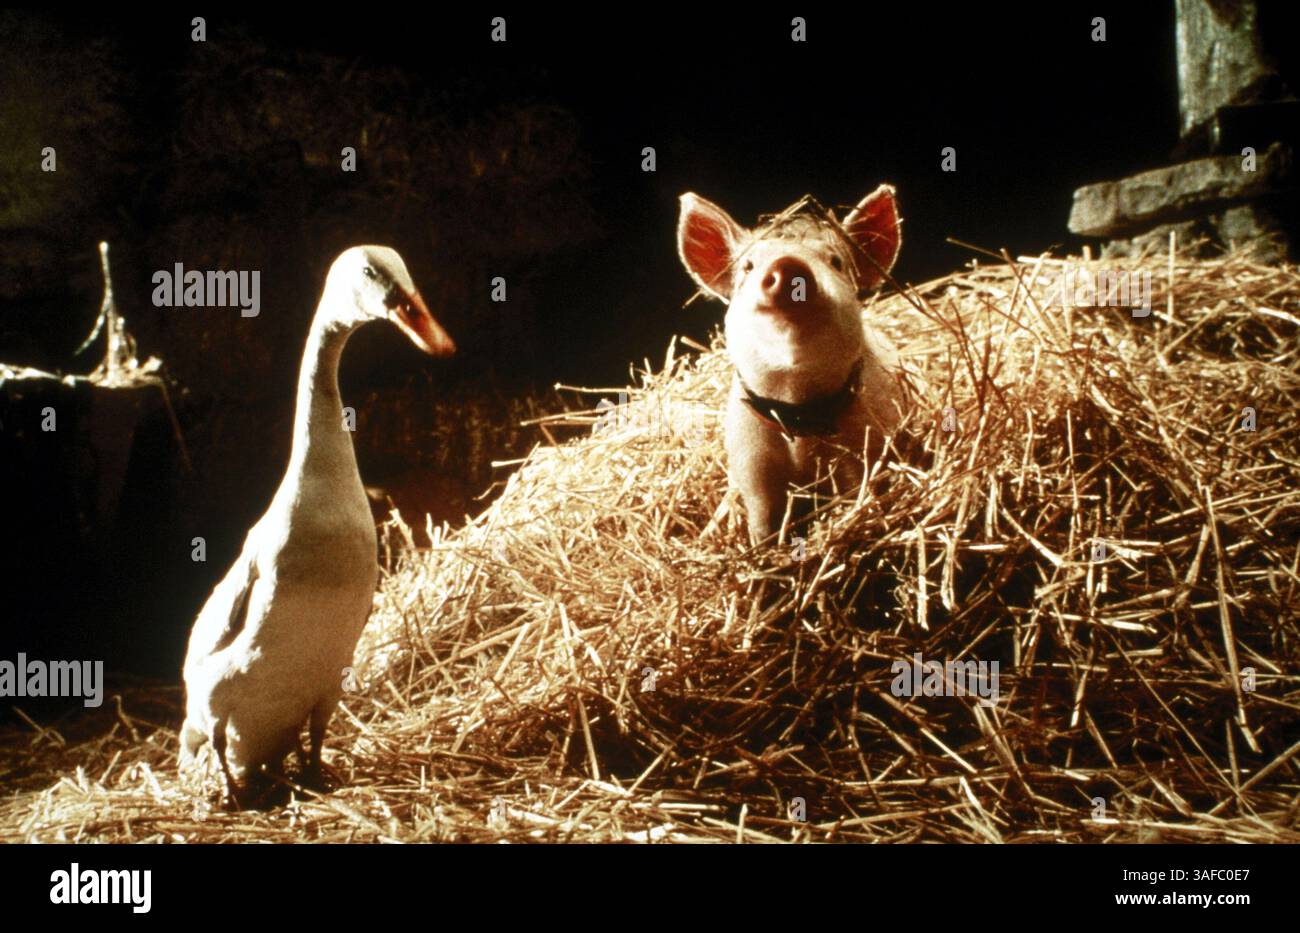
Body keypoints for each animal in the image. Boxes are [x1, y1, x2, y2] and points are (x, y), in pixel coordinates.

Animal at [677, 186, 906, 544]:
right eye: (748, 266)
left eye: (835, 261)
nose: (789, 265)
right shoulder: (753, 467)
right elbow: (762, 523)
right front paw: (761, 548)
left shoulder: (865, 448)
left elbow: (859, 493)